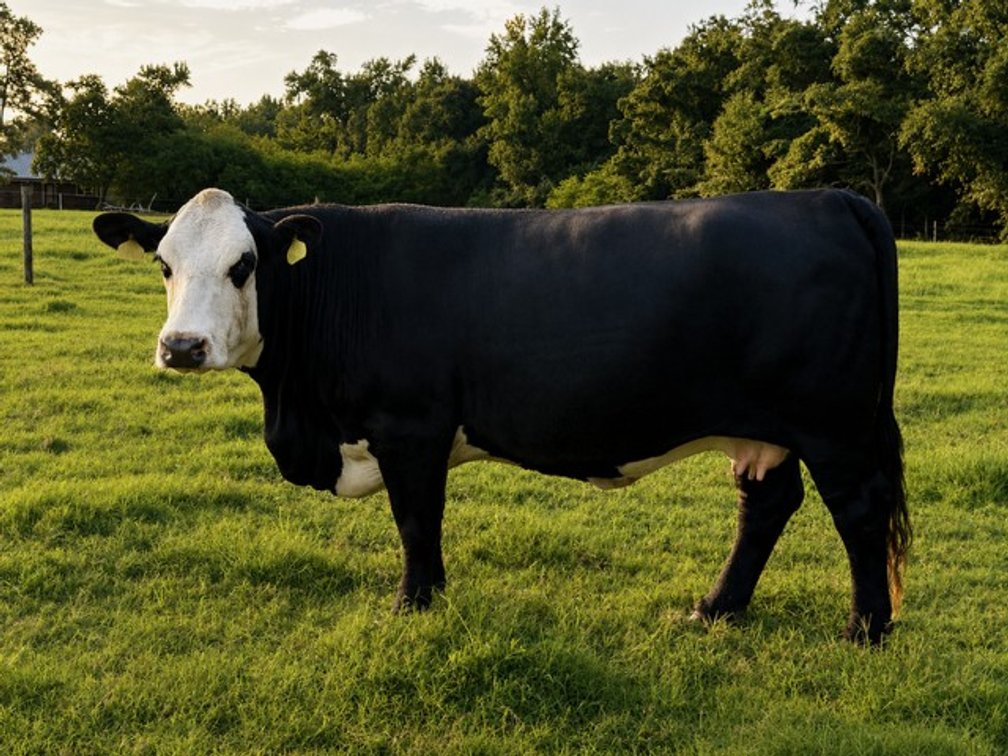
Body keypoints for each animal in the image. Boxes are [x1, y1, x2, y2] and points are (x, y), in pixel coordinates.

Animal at [93, 187, 911, 644]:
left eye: (245, 265)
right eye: (164, 264)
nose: (182, 347)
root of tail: (829, 197)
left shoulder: (411, 428)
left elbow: (416, 523)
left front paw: (414, 607)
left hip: (835, 425)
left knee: (859, 512)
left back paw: (865, 630)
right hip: (770, 431)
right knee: (767, 504)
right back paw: (714, 610)